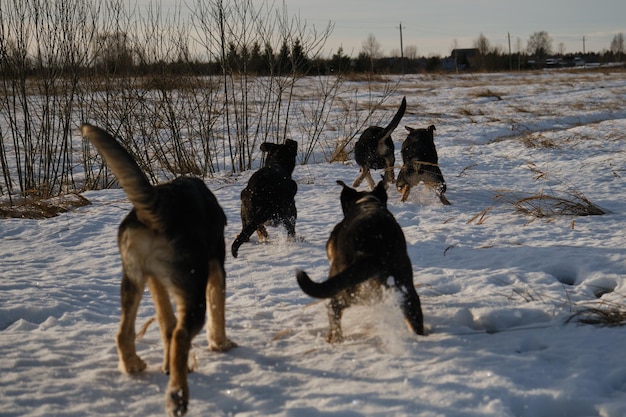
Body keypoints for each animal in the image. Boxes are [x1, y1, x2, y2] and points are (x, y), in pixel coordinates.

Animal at [78, 123, 234, 416]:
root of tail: (158, 205)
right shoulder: (216, 267)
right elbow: (217, 311)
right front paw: (220, 344)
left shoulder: (155, 281)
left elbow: (166, 326)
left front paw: (167, 363)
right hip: (192, 289)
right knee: (182, 334)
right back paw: (177, 395)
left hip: (133, 280)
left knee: (125, 333)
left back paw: (134, 365)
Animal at [294, 179, 422, 342]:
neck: (366, 201)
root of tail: (372, 249)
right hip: (404, 289)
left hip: (343, 283)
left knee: (334, 309)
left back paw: (333, 338)